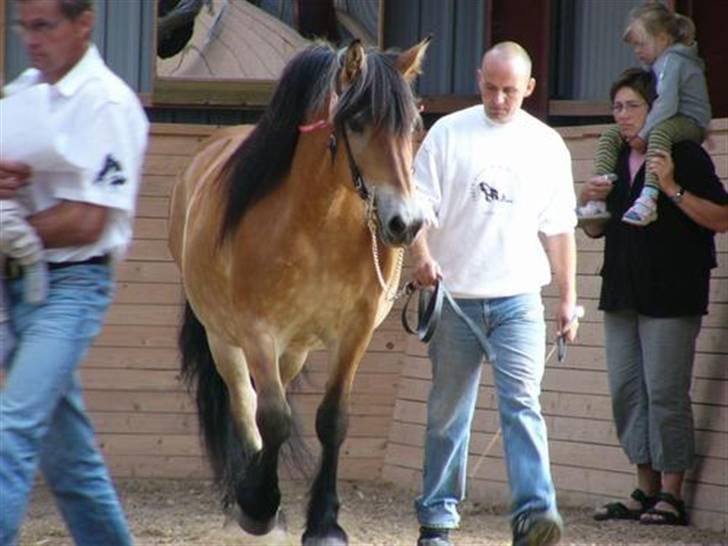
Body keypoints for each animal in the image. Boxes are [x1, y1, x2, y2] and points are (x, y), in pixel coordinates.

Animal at [168, 39, 430, 544]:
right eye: (357, 122)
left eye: (412, 126)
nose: (404, 224)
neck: (318, 225)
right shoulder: (257, 333)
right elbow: (272, 418)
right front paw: (258, 504)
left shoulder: (355, 333)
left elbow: (332, 420)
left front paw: (325, 521)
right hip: (223, 338)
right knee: (246, 402)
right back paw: (248, 495)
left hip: (295, 347)